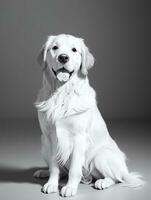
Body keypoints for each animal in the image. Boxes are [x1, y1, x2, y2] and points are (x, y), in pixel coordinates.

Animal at [33, 33, 145, 196]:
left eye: (74, 50)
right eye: (55, 48)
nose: (63, 57)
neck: (62, 93)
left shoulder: (79, 137)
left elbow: (74, 169)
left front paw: (70, 188)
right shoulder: (50, 136)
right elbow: (55, 167)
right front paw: (52, 184)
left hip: (101, 156)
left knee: (116, 178)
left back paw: (102, 182)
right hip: (43, 144)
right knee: (62, 170)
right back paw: (43, 172)